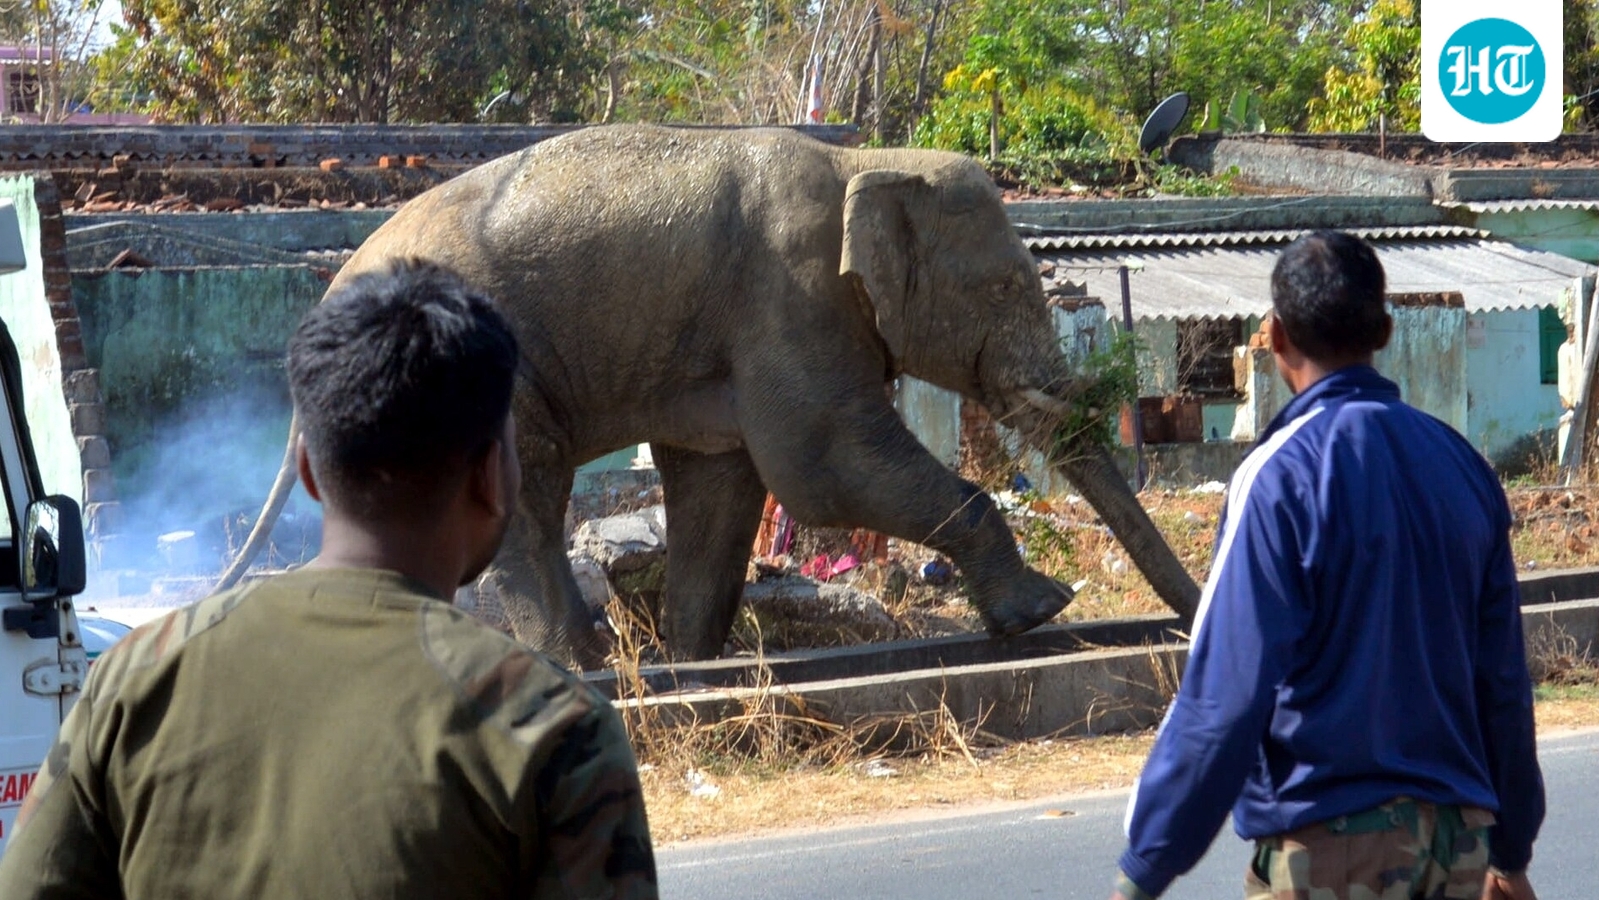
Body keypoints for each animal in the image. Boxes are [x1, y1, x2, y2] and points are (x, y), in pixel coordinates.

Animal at [219, 124, 1200, 668]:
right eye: (1001, 287)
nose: (1185, 628)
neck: (866, 160)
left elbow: (724, 483)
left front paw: (694, 657)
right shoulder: (790, 295)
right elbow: (823, 466)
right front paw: (1044, 609)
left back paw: (622, 668)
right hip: (470, 375)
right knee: (527, 495)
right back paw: (582, 668)